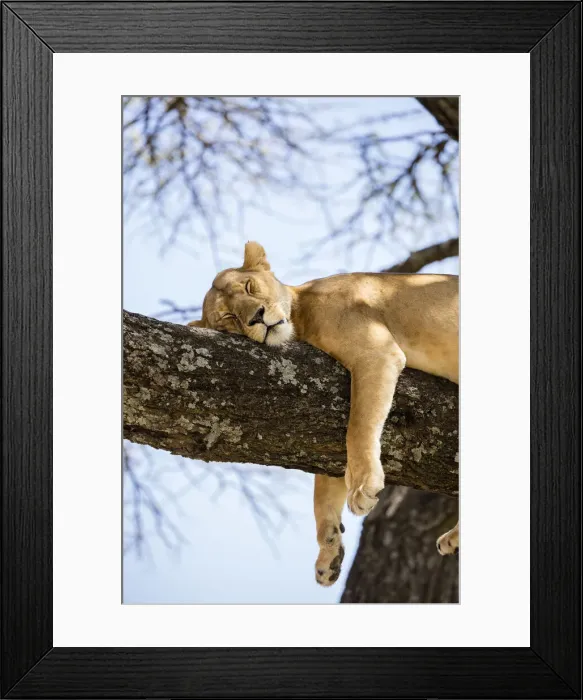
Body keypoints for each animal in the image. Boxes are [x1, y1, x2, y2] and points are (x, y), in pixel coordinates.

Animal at [189, 241, 459, 586]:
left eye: (249, 287)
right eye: (228, 318)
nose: (257, 318)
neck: (301, 315)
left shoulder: (376, 353)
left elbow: (358, 428)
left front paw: (363, 486)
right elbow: (324, 487)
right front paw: (328, 550)